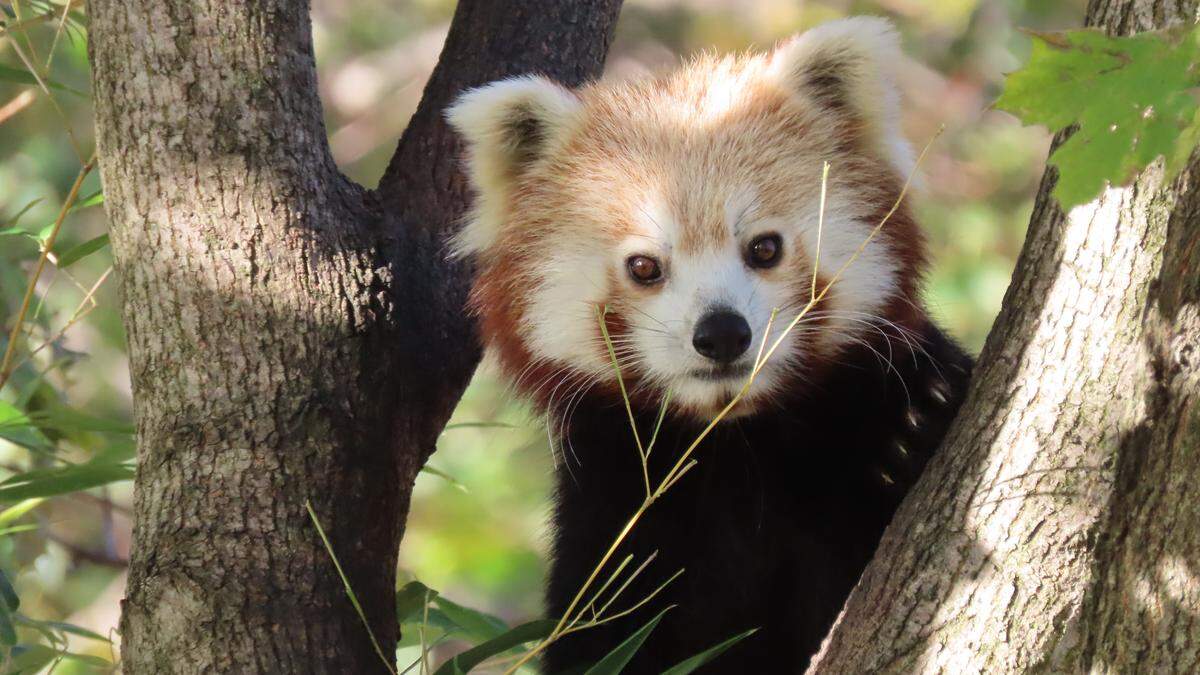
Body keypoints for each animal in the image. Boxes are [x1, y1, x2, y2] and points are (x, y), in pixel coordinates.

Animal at [446, 17, 969, 672]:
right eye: (644, 267)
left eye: (764, 248)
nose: (722, 334)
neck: (738, 445)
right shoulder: (614, 518)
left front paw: (915, 422)